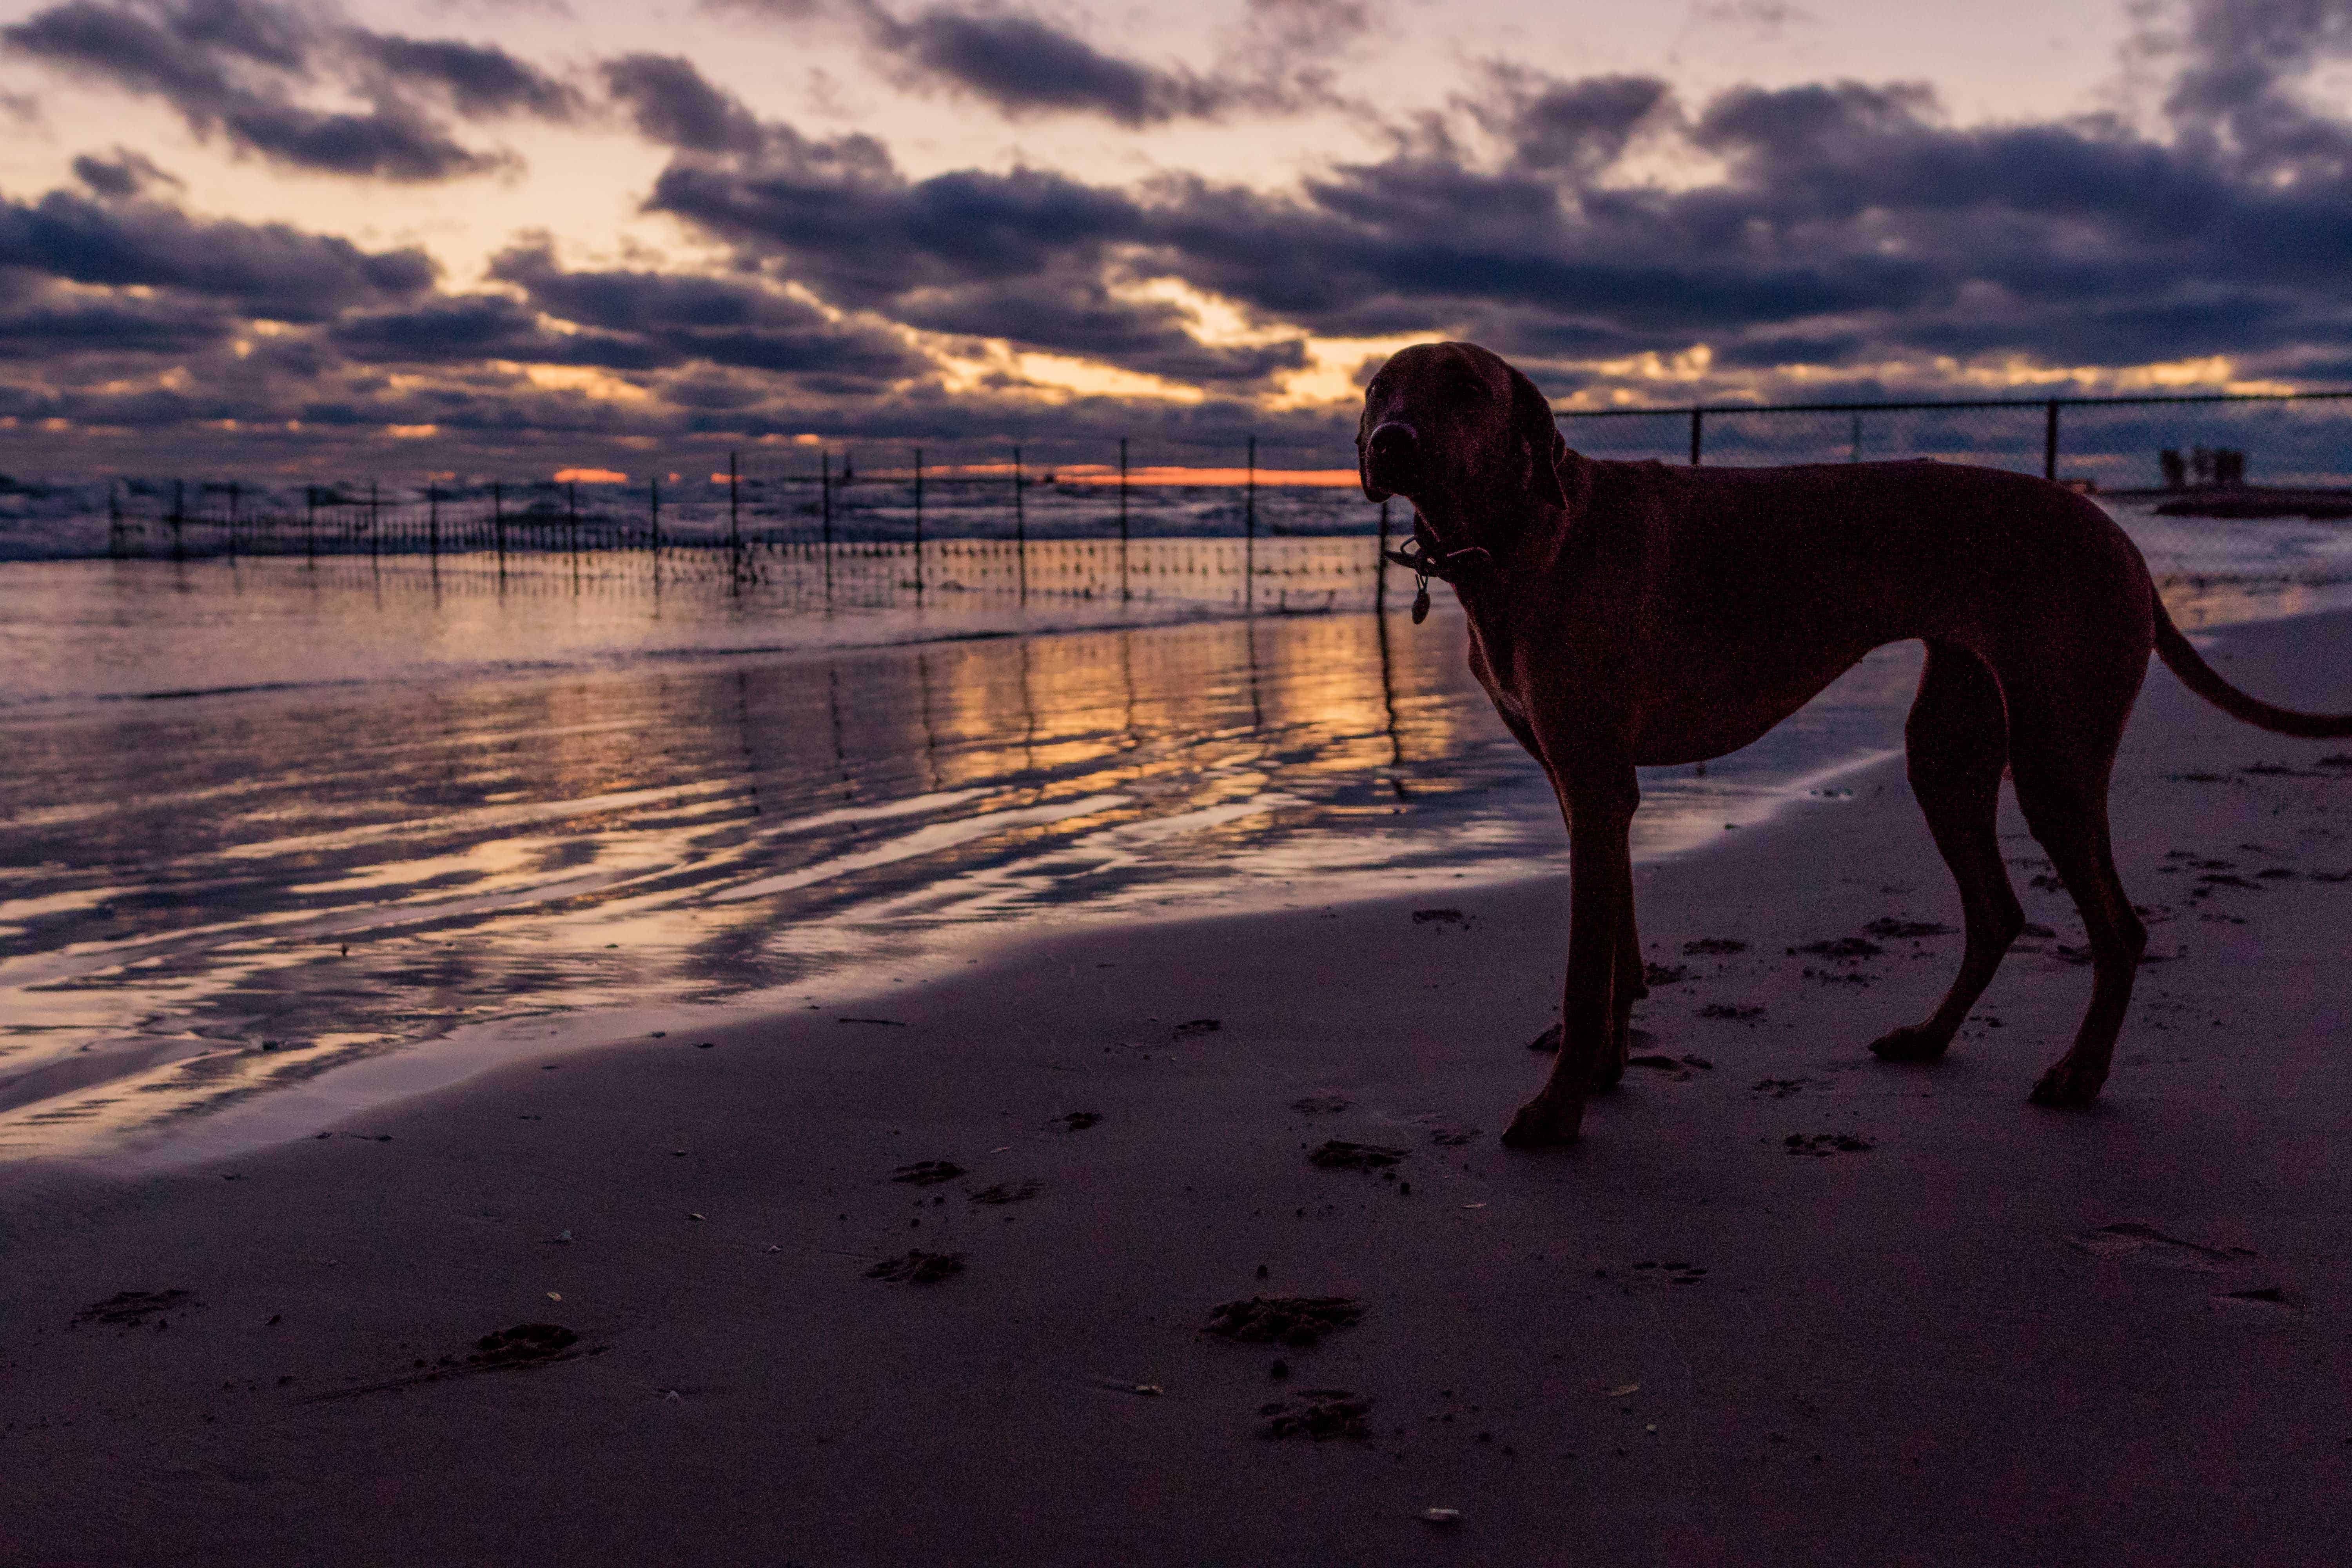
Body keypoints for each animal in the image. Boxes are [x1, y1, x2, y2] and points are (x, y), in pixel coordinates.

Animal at [1364, 343, 2352, 1147]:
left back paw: (2079, 1072)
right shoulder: (1591, 791)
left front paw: (1558, 1107)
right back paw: (1932, 1036)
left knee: (2119, 927)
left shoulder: (1596, 783)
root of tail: (2122, 538)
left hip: (2055, 762)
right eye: (1378, 388)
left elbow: (1584, 969)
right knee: (1999, 911)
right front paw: (1606, 1064)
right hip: (1948, 753)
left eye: (1465, 387)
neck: (1526, 533)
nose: (1390, 441)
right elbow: (1619, 952)